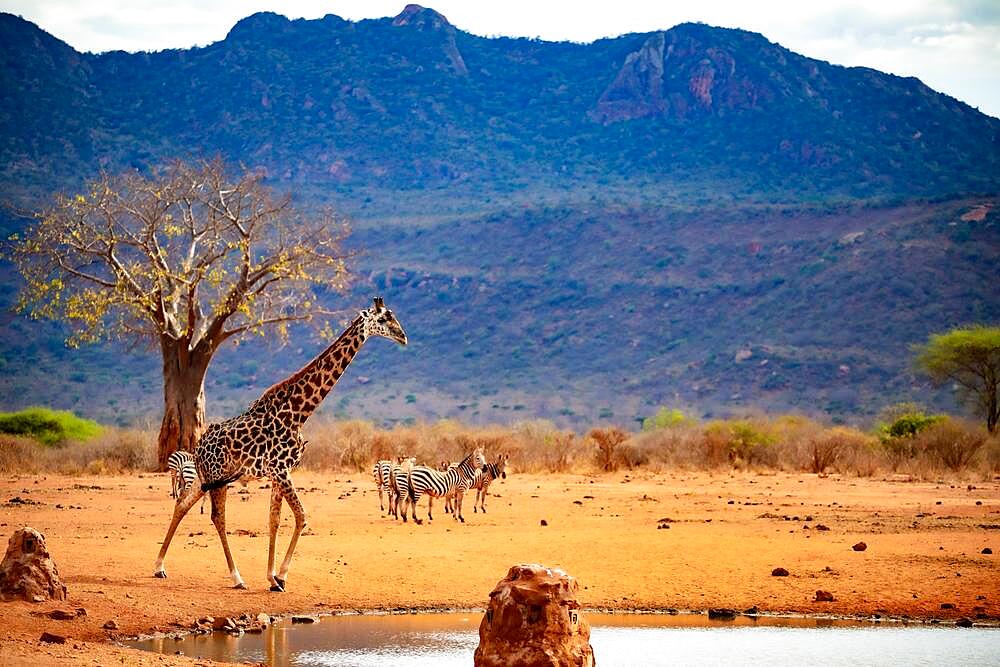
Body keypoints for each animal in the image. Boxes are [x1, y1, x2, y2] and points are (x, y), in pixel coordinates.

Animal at [151, 296, 406, 588]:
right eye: (384, 318)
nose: (403, 337)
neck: (299, 413)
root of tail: (198, 446)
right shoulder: (281, 471)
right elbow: (301, 516)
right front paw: (281, 576)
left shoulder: (279, 473)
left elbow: (274, 520)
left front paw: (272, 577)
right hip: (216, 477)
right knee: (217, 517)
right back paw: (236, 577)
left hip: (209, 477)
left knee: (182, 504)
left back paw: (159, 566)